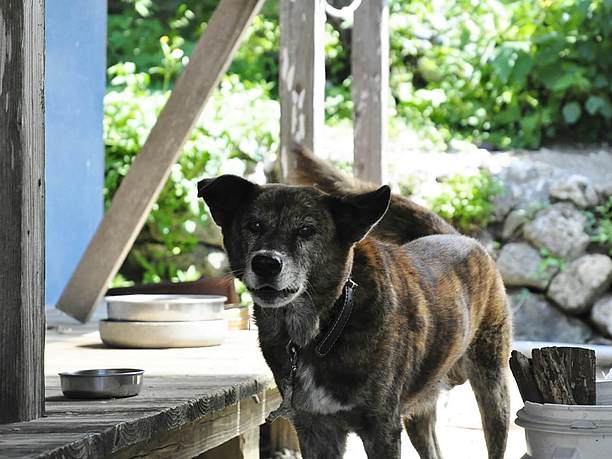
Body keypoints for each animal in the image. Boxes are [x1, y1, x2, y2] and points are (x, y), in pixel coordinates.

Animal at [197, 149, 512, 458]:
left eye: (306, 230)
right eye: (254, 225)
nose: (265, 263)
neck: (326, 325)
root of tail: (460, 237)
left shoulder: (382, 430)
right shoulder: (315, 431)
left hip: (493, 390)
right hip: (420, 411)